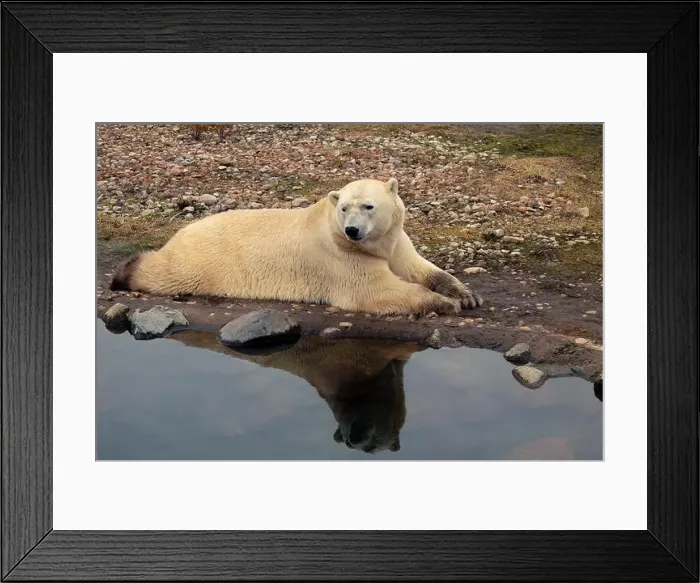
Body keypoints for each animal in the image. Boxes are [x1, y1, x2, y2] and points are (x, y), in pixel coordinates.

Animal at [110, 177, 483, 316]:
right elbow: (375, 291)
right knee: (167, 272)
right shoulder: (341, 257)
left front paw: (466, 295)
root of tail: (182, 231)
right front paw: (446, 303)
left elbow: (419, 268)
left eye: (369, 206)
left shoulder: (396, 241)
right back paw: (123, 271)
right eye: (344, 207)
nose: (352, 231)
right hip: (202, 260)